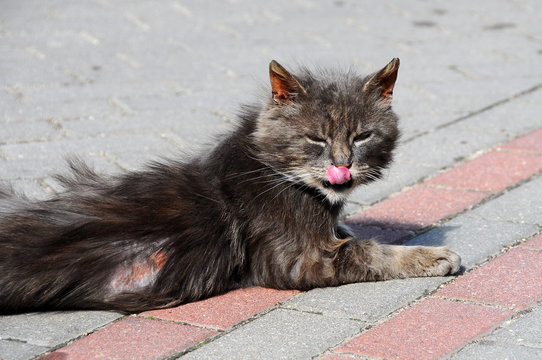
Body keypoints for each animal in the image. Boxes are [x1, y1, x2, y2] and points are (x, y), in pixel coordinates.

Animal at [0, 58, 462, 312]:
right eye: (316, 138)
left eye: (363, 136)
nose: (342, 166)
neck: (269, 166)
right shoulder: (300, 259)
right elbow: (365, 251)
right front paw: (433, 257)